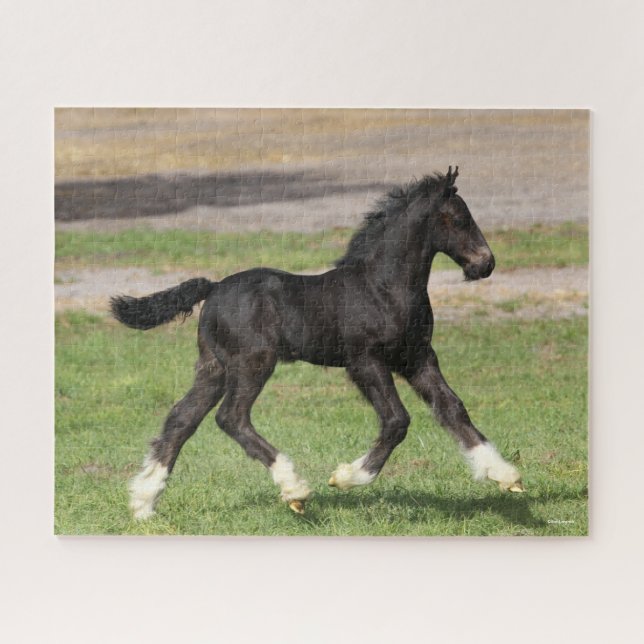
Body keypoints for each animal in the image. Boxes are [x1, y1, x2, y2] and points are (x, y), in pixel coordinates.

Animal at [111, 167, 524, 520]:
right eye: (458, 218)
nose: (485, 263)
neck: (383, 287)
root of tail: (212, 288)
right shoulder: (365, 361)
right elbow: (396, 421)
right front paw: (346, 477)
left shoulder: (417, 358)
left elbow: (453, 409)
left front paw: (505, 475)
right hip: (253, 362)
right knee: (231, 417)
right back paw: (294, 489)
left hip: (214, 367)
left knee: (181, 419)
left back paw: (143, 503)